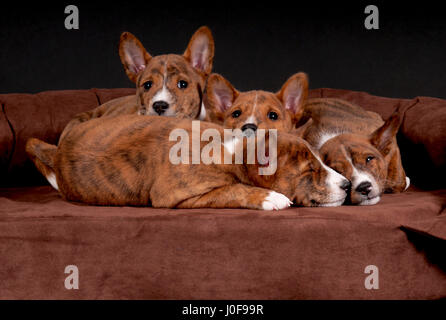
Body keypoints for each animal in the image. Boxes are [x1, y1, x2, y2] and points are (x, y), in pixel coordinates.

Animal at [26, 115, 350, 210]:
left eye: (321, 162)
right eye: (310, 170)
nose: (347, 185)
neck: (230, 150)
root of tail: (58, 151)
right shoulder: (178, 196)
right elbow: (231, 189)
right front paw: (270, 197)